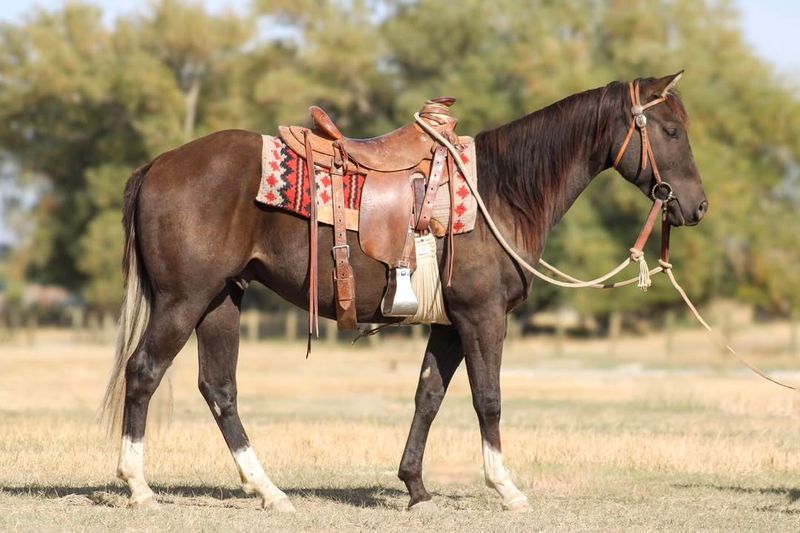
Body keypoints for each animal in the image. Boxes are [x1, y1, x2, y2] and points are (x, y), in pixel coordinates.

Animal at [98, 71, 708, 512]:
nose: (696, 206)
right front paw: (506, 489)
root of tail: (157, 165)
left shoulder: (449, 324)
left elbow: (428, 396)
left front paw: (415, 488)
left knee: (219, 388)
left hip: (222, 300)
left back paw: (269, 492)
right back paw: (140, 488)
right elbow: (488, 398)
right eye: (671, 131)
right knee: (144, 372)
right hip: (182, 301)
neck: (503, 191)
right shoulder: (483, 316)